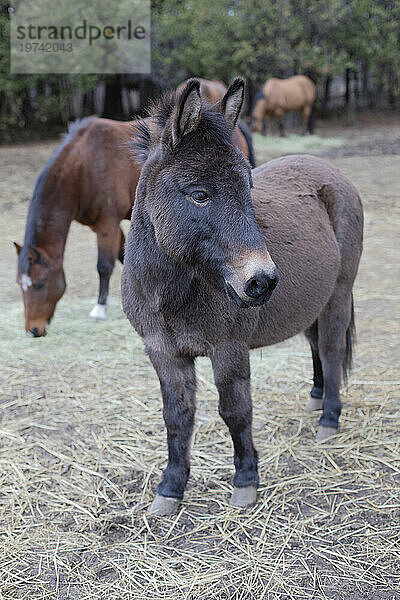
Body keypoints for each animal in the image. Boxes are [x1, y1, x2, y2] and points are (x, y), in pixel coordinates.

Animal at [14, 115, 141, 336]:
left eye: (40, 284)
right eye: (20, 284)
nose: (33, 330)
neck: (85, 165)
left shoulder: (108, 224)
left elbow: (104, 266)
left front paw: (100, 308)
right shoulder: (103, 225)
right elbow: (123, 256)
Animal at [121, 77, 362, 512]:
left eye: (249, 186)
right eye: (199, 194)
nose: (262, 281)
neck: (171, 293)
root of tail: (331, 171)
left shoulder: (228, 349)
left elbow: (235, 412)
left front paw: (246, 481)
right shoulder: (163, 352)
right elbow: (177, 417)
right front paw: (170, 488)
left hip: (338, 293)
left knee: (332, 349)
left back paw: (329, 420)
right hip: (312, 303)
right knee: (316, 345)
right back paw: (317, 398)